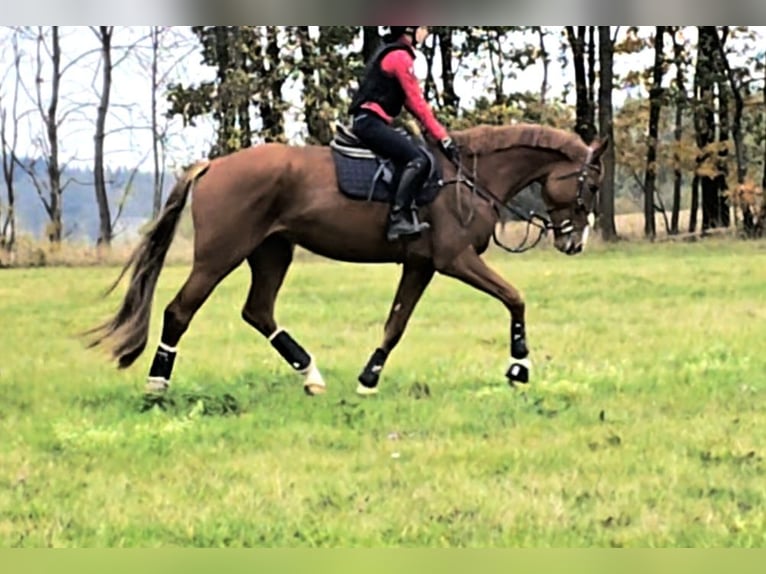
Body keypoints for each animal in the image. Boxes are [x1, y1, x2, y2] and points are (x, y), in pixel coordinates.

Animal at [87, 121, 608, 398]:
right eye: (591, 184)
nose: (575, 242)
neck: (468, 179)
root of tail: (213, 164)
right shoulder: (454, 259)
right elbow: (515, 298)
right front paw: (519, 368)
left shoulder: (421, 265)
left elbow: (395, 324)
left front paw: (369, 378)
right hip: (220, 256)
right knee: (180, 310)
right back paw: (158, 381)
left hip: (271, 252)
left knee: (258, 311)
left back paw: (310, 374)